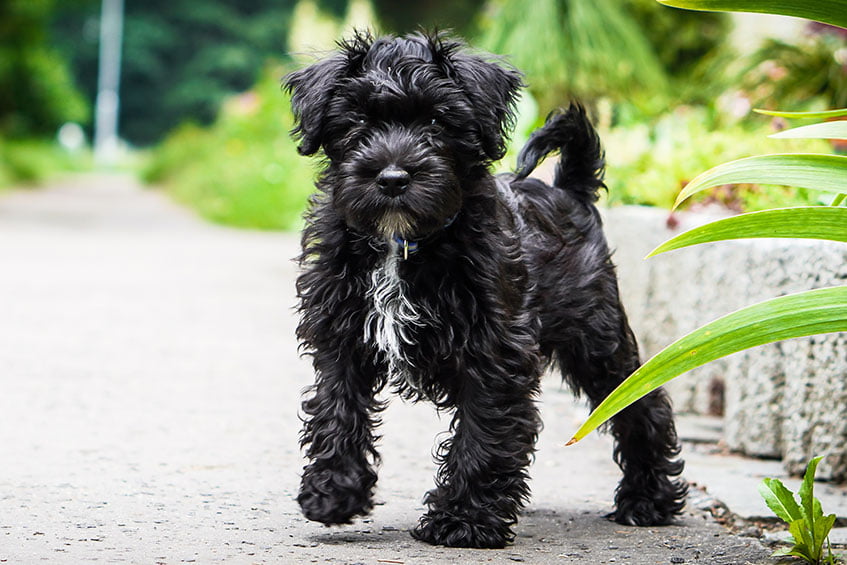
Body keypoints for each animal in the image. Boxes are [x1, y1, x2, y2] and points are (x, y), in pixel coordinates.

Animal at [284, 29, 688, 548]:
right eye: (357, 121)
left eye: (437, 121)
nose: (392, 177)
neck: (403, 243)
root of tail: (568, 190)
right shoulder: (342, 337)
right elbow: (338, 410)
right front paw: (333, 492)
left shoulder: (494, 351)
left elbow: (484, 432)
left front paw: (463, 520)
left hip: (597, 338)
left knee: (643, 404)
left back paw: (648, 500)